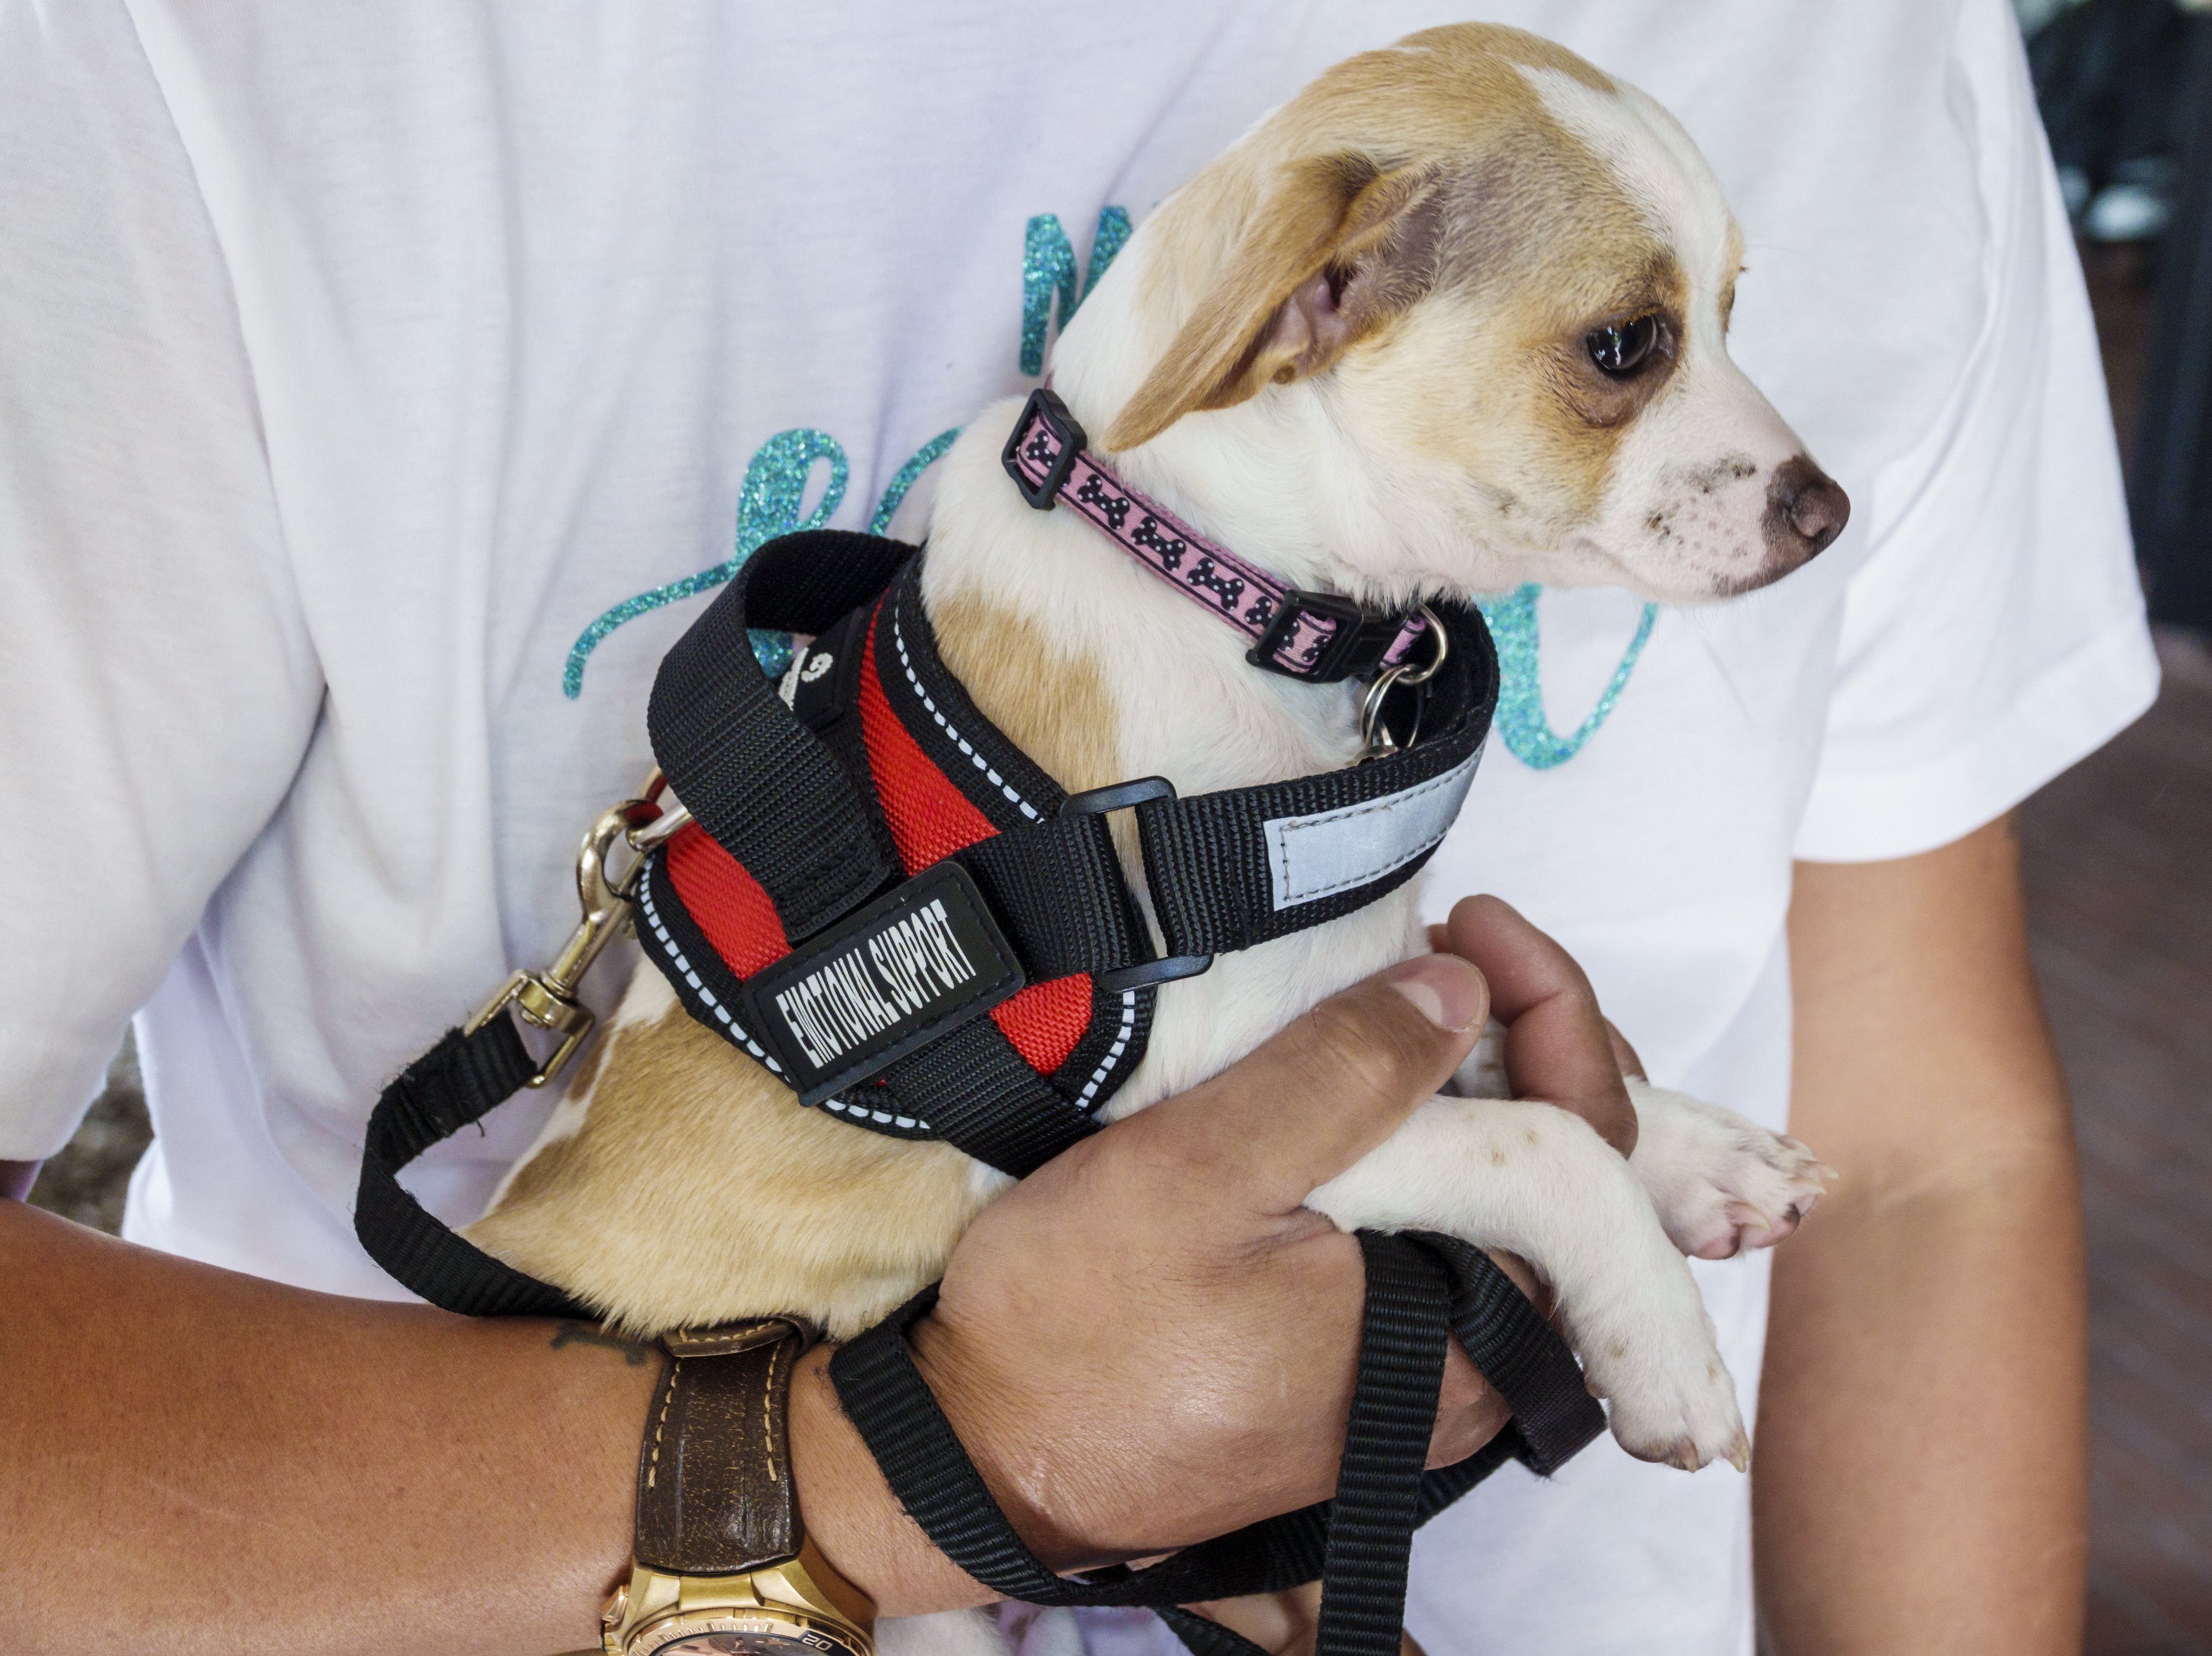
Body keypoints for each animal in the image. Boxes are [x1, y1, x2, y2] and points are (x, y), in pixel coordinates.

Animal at [471, 22, 1849, 1645]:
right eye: (1627, 346)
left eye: (1731, 308)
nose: (1830, 511)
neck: (1223, 590)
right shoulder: (1211, 1118)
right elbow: (1541, 1137)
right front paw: (1663, 1341)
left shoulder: (1359, 985)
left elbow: (1542, 1080)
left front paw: (1697, 1155)